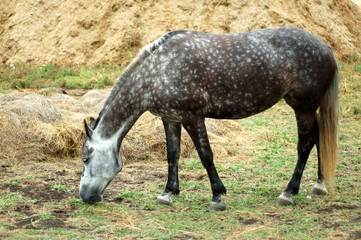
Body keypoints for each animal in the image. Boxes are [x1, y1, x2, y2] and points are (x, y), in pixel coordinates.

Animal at [79, 26, 338, 210]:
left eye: (85, 159)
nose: (84, 196)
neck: (159, 70)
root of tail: (326, 46)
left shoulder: (193, 118)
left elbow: (206, 155)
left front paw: (217, 196)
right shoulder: (170, 118)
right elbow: (172, 154)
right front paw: (167, 193)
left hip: (302, 108)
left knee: (304, 145)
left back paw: (288, 193)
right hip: (306, 108)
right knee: (319, 138)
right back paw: (319, 185)